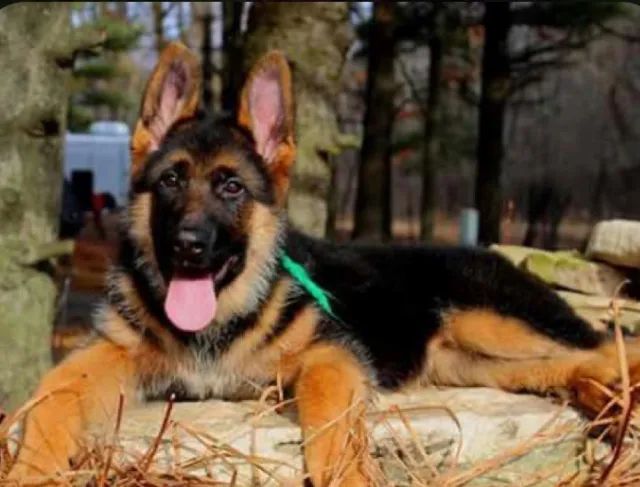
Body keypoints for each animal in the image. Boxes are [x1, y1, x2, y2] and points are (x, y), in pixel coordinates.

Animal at [7, 43, 640, 487]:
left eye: (232, 188)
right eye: (170, 182)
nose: (188, 245)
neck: (224, 316)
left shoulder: (331, 356)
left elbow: (330, 421)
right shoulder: (110, 353)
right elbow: (51, 393)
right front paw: (30, 465)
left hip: (489, 323)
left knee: (608, 345)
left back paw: (615, 393)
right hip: (476, 364)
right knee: (568, 365)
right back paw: (604, 398)